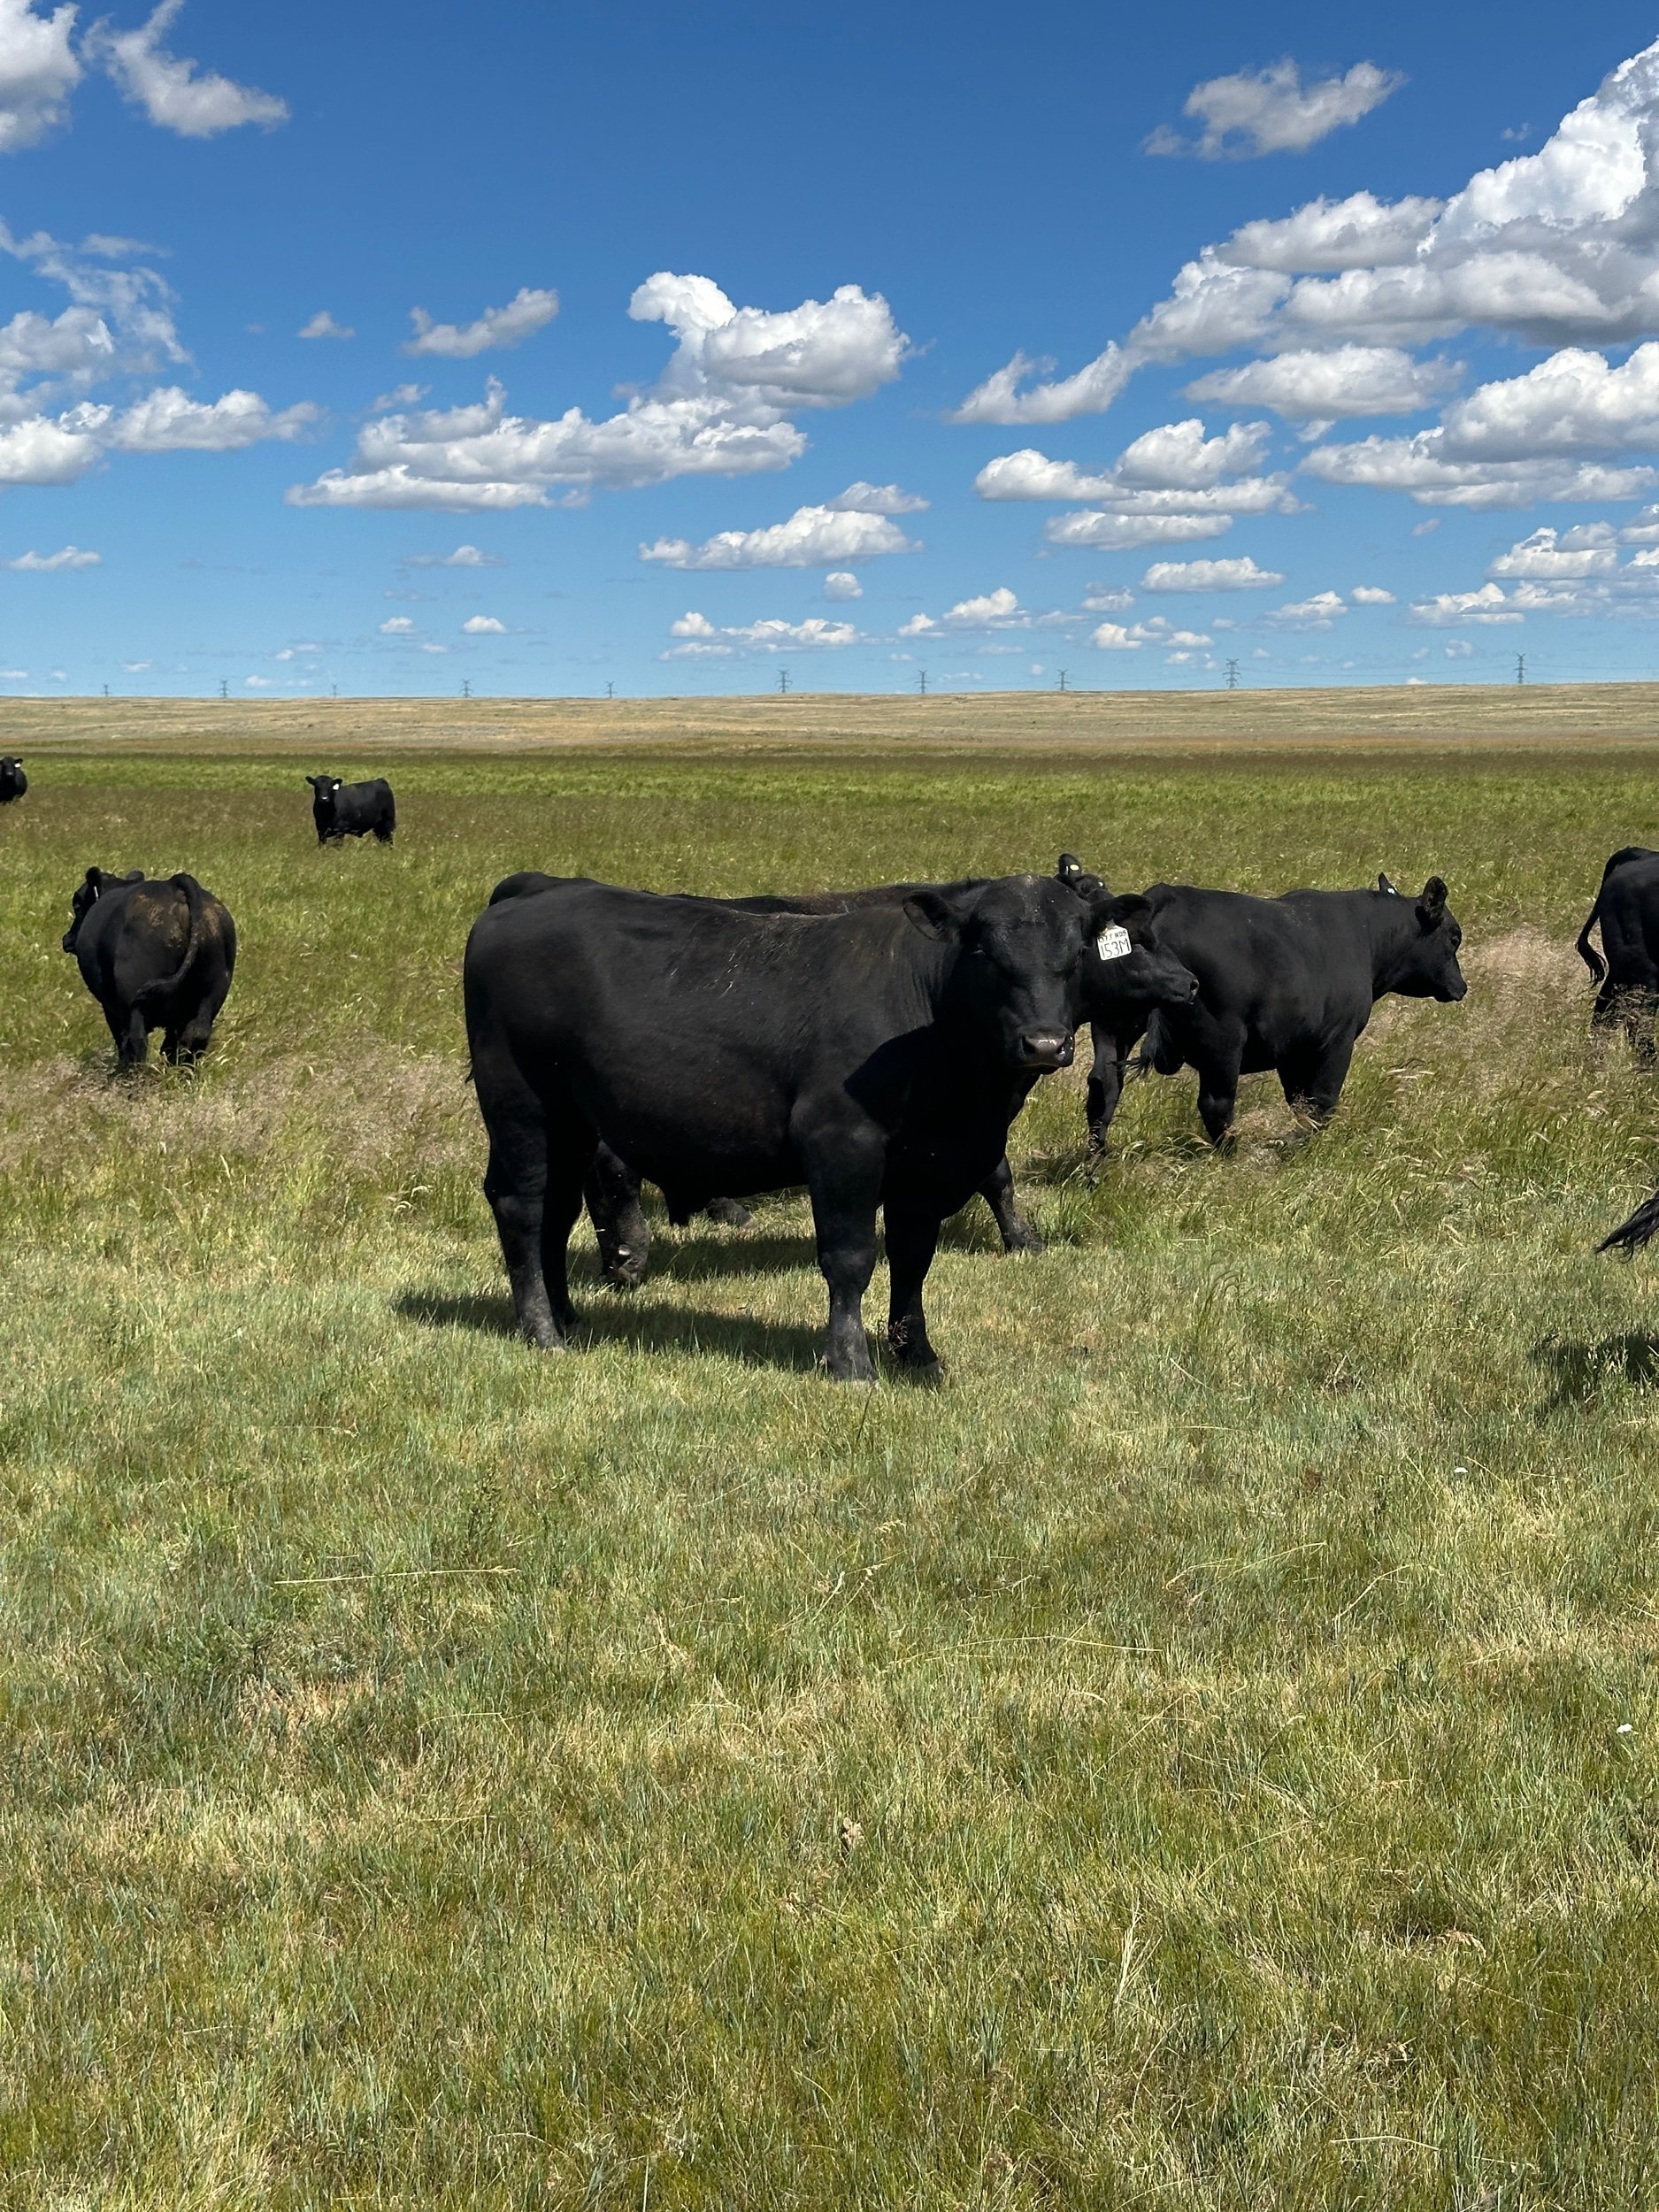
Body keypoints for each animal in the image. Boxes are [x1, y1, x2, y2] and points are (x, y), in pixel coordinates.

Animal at [61, 867, 237, 1066]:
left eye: (77, 906)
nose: (67, 938)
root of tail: (174, 886)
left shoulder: (111, 1007)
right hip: (211, 994)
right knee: (193, 1037)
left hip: (133, 1000)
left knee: (135, 1042)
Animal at [464, 871, 1126, 1380]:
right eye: (985, 953)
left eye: (1077, 955)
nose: (1044, 1044)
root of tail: (530, 893)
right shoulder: (841, 1143)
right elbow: (850, 1256)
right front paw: (850, 1362)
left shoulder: (929, 1166)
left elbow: (912, 1259)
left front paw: (917, 1354)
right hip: (520, 1104)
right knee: (523, 1206)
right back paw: (541, 1329)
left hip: (570, 1123)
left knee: (557, 1209)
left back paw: (567, 1317)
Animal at [1069, 868, 1467, 1150]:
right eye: (1454, 937)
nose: (1461, 987)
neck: (1366, 936)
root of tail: (1167, 897)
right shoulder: (1336, 1039)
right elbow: (1322, 1101)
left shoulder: (1293, 1047)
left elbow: (1300, 1101)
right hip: (1223, 1041)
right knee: (1216, 1103)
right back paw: (1232, 1151)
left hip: (1113, 1026)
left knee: (1103, 1088)